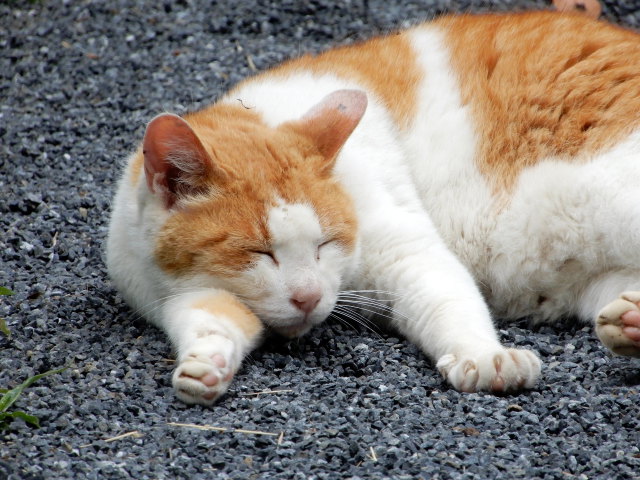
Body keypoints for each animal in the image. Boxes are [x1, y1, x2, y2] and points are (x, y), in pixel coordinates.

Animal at [106, 9, 640, 404]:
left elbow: (448, 299)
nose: (308, 298)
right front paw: (205, 364)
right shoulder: (176, 291)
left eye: (325, 243)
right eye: (259, 253)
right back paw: (630, 322)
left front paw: (484, 355)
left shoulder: (406, 248)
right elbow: (211, 319)